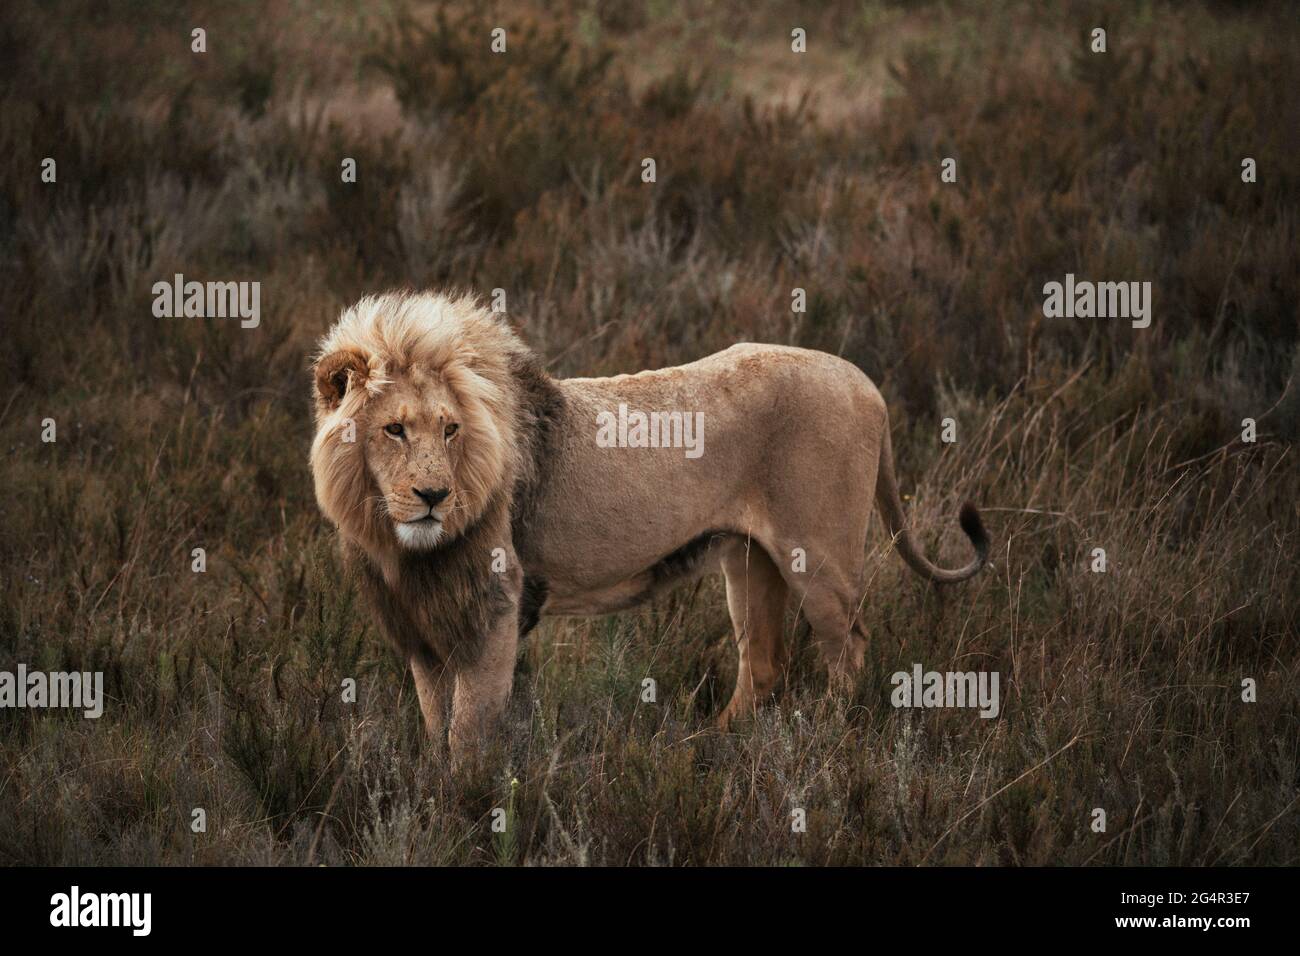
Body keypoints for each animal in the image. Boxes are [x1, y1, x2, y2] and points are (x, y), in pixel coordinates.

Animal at [310, 291, 988, 764]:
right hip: (750, 560)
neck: (407, 548)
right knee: (764, 663)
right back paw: (704, 747)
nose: (433, 496)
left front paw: (466, 804)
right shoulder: (422, 626)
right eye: (395, 429)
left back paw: (829, 739)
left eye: (451, 429)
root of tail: (865, 381)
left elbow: (469, 733)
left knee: (849, 648)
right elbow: (435, 726)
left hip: (819, 559)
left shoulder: (495, 610)